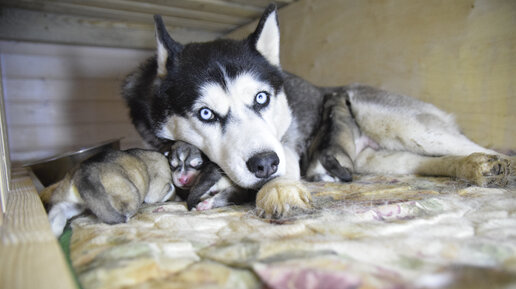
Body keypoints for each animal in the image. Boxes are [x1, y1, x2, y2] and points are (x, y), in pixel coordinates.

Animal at [41, 147, 174, 235]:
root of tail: (83, 172)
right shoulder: (156, 190)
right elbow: (168, 190)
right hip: (131, 194)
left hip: (72, 204)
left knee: (57, 213)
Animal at [122, 4, 512, 217]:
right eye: (206, 114)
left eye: (261, 98)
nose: (265, 164)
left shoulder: (285, 145)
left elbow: (284, 163)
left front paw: (279, 189)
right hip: (378, 159)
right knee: (426, 164)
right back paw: (473, 168)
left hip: (397, 122)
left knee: (473, 146)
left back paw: (491, 163)